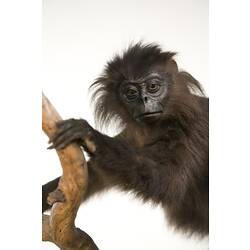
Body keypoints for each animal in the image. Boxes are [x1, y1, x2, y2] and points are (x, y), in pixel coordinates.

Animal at [43, 42, 209, 236]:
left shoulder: (194, 126)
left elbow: (168, 181)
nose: (144, 99)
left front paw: (89, 135)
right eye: (131, 93)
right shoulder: (131, 136)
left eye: (153, 86)